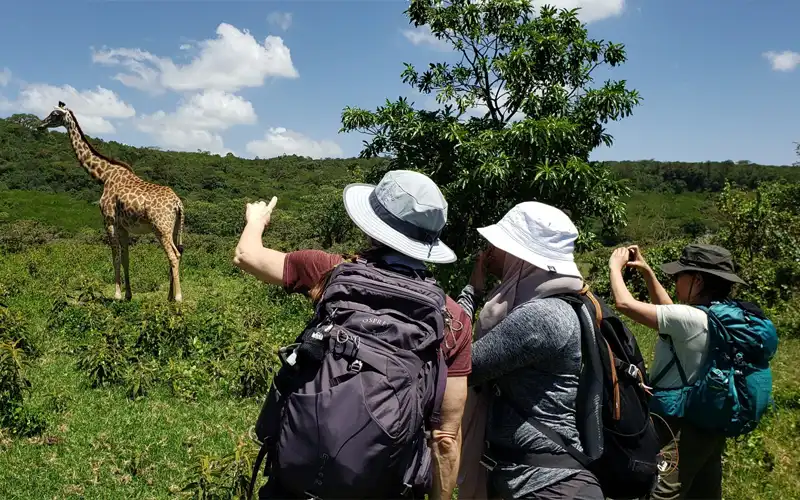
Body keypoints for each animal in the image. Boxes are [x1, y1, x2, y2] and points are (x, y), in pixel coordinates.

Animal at [40, 102, 186, 300]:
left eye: (55, 114)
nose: (41, 124)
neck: (104, 175)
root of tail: (178, 204)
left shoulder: (109, 220)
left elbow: (115, 256)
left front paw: (117, 294)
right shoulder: (123, 226)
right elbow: (126, 258)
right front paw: (128, 295)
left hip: (161, 227)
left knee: (174, 255)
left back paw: (177, 298)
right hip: (174, 227)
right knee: (176, 253)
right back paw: (169, 297)